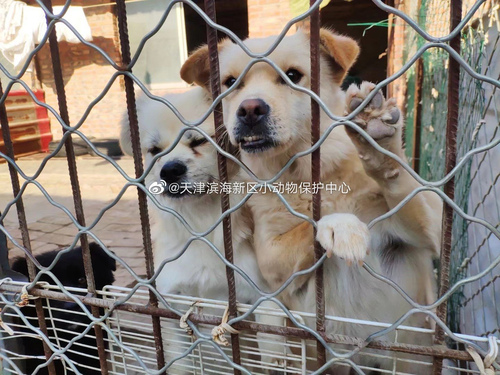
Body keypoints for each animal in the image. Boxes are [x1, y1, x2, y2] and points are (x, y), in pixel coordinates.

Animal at [181, 28, 442, 374]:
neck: (302, 173)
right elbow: (313, 223)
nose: (249, 110)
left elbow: (404, 187)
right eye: (231, 82)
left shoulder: (432, 228)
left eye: (293, 76)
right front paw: (341, 226)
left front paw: (379, 143)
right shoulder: (271, 257)